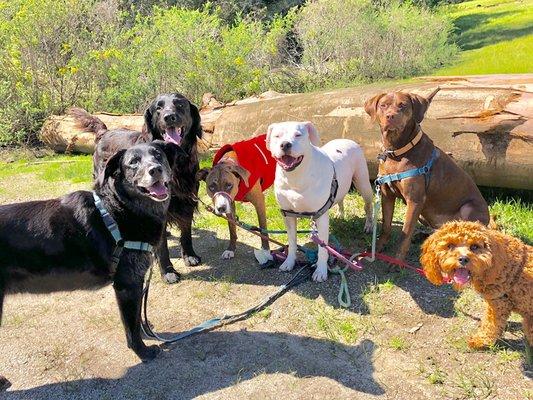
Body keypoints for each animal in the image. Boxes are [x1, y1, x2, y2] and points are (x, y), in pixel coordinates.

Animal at [0, 141, 183, 390]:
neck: (120, 208)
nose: (155, 170)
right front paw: (142, 352)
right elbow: (132, 327)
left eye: (157, 155)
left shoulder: (131, 285)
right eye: (133, 162)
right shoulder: (127, 285)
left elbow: (134, 319)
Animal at [69, 93, 203, 284]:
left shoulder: (187, 200)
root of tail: (105, 132)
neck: (176, 165)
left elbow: (186, 233)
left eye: (180, 104)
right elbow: (162, 248)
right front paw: (168, 271)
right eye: (158, 108)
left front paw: (190, 255)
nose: (169, 117)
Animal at [266, 122, 374, 282]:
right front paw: (289, 262)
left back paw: (368, 225)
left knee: (368, 206)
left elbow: (323, 248)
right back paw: (340, 214)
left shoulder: (320, 216)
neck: (296, 177)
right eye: (277, 136)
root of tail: (347, 140)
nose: (285, 144)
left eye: (298, 135)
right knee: (340, 198)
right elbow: (292, 242)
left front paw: (321, 271)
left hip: (363, 184)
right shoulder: (288, 215)